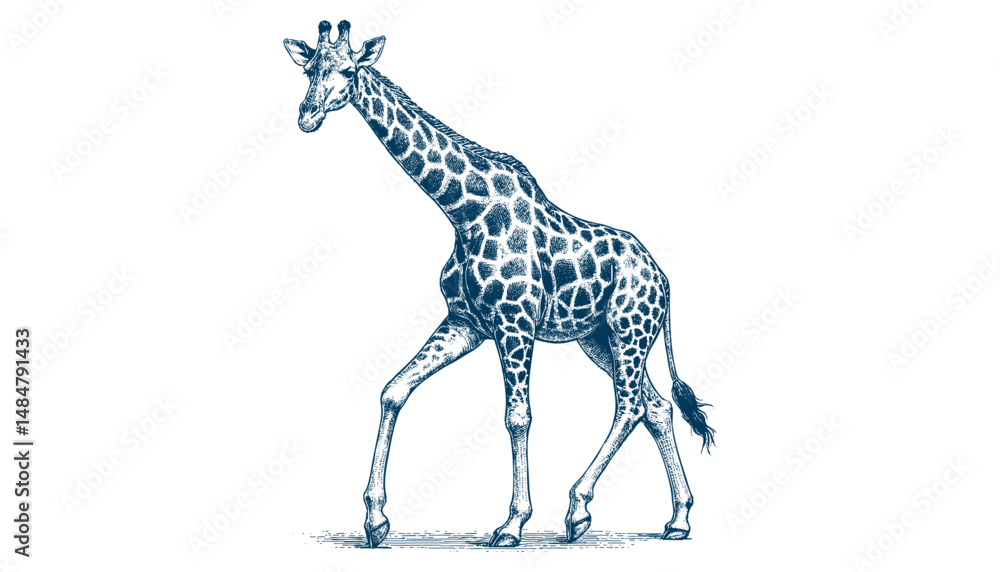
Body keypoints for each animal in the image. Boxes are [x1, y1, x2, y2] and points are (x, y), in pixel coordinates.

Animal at [284, 20, 716, 548]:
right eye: (308, 69)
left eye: (348, 70)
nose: (307, 116)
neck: (463, 212)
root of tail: (664, 279)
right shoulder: (466, 324)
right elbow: (393, 389)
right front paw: (375, 519)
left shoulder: (515, 325)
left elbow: (517, 416)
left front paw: (511, 523)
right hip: (600, 338)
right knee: (655, 406)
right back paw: (678, 519)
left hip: (628, 330)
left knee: (630, 405)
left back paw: (578, 509)